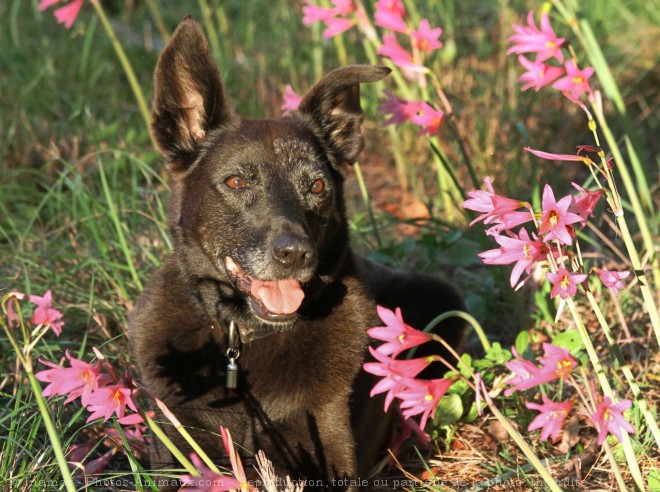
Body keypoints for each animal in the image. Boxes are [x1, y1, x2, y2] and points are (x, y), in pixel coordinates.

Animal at [130, 16, 464, 492]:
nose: (295, 254)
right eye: (236, 182)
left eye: (318, 186)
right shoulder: (176, 447)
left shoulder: (327, 448)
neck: (242, 340)